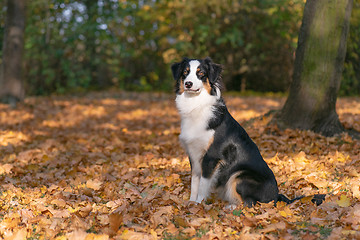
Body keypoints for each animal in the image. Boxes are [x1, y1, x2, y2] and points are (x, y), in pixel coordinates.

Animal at [172, 57, 324, 207]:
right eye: (185, 72)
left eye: (201, 73)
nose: (188, 84)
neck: (196, 105)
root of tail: (277, 196)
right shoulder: (193, 153)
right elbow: (195, 181)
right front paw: (191, 203)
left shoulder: (211, 156)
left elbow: (203, 184)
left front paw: (199, 204)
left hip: (240, 175)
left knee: (250, 203)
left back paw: (231, 207)